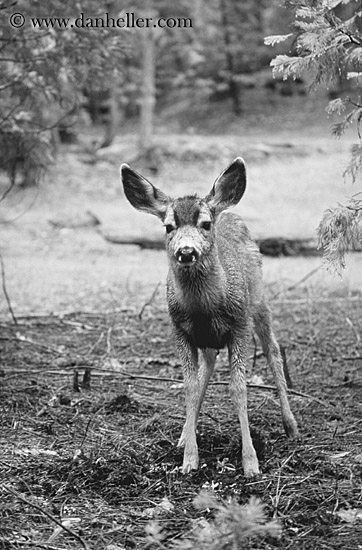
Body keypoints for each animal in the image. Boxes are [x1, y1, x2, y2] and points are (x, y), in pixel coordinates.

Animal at [120, 158, 298, 478]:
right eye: (168, 226)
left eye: (205, 224)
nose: (186, 251)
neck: (205, 308)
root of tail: (228, 210)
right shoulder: (180, 330)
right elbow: (190, 386)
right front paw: (189, 459)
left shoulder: (239, 326)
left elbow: (239, 388)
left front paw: (251, 463)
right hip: (208, 337)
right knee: (209, 365)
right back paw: (183, 436)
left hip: (259, 302)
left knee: (273, 352)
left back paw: (291, 425)